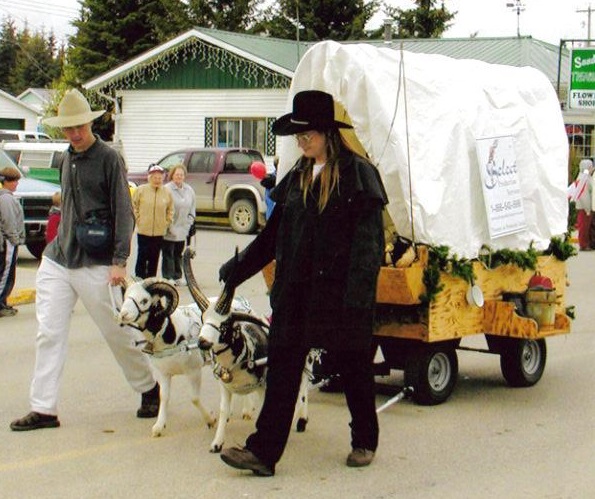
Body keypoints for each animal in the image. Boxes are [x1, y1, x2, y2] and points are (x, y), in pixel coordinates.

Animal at [115, 280, 215, 440]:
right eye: (125, 297)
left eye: (144, 300)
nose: (123, 315)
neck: (170, 332)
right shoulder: (164, 373)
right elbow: (164, 397)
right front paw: (158, 427)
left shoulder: (193, 371)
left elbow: (194, 398)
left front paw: (210, 420)